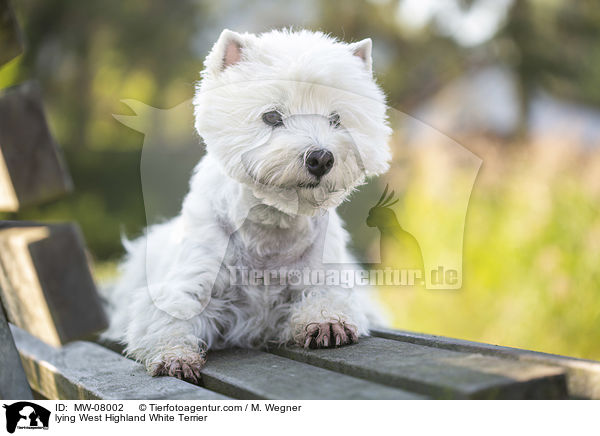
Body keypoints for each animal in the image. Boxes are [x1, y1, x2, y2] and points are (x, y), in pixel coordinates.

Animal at [102, 29, 394, 382]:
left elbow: (327, 298)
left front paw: (326, 323)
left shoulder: (323, 277)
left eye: (336, 119)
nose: (321, 158)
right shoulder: (188, 285)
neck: (272, 228)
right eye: (272, 116)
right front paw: (175, 358)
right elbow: (170, 318)